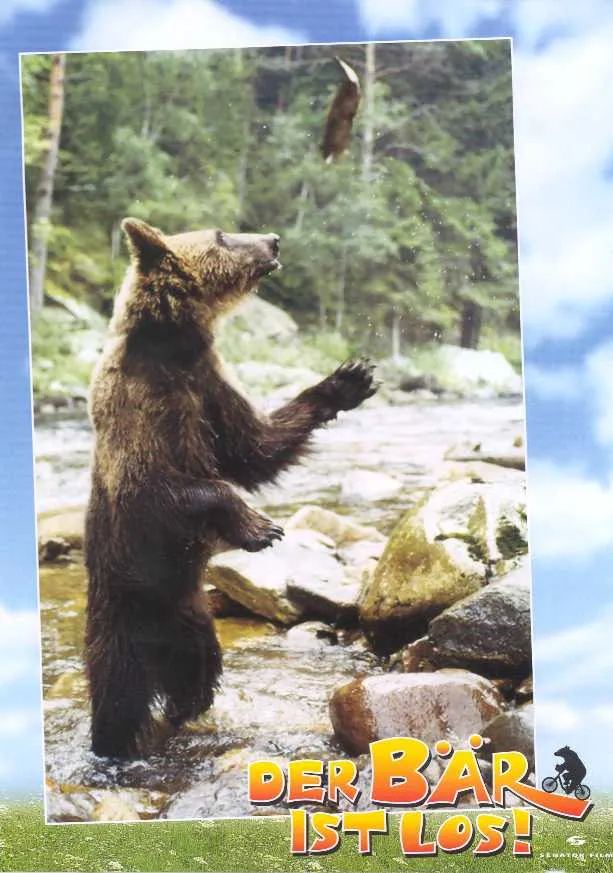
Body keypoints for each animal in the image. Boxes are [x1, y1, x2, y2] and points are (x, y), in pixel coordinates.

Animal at [84, 217, 377, 758]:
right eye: (221, 235)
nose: (274, 239)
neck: (171, 348)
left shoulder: (208, 387)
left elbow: (255, 447)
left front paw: (349, 379)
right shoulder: (138, 415)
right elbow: (170, 487)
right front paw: (261, 528)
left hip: (194, 625)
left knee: (196, 675)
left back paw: (186, 713)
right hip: (123, 617)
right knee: (119, 697)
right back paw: (115, 743)